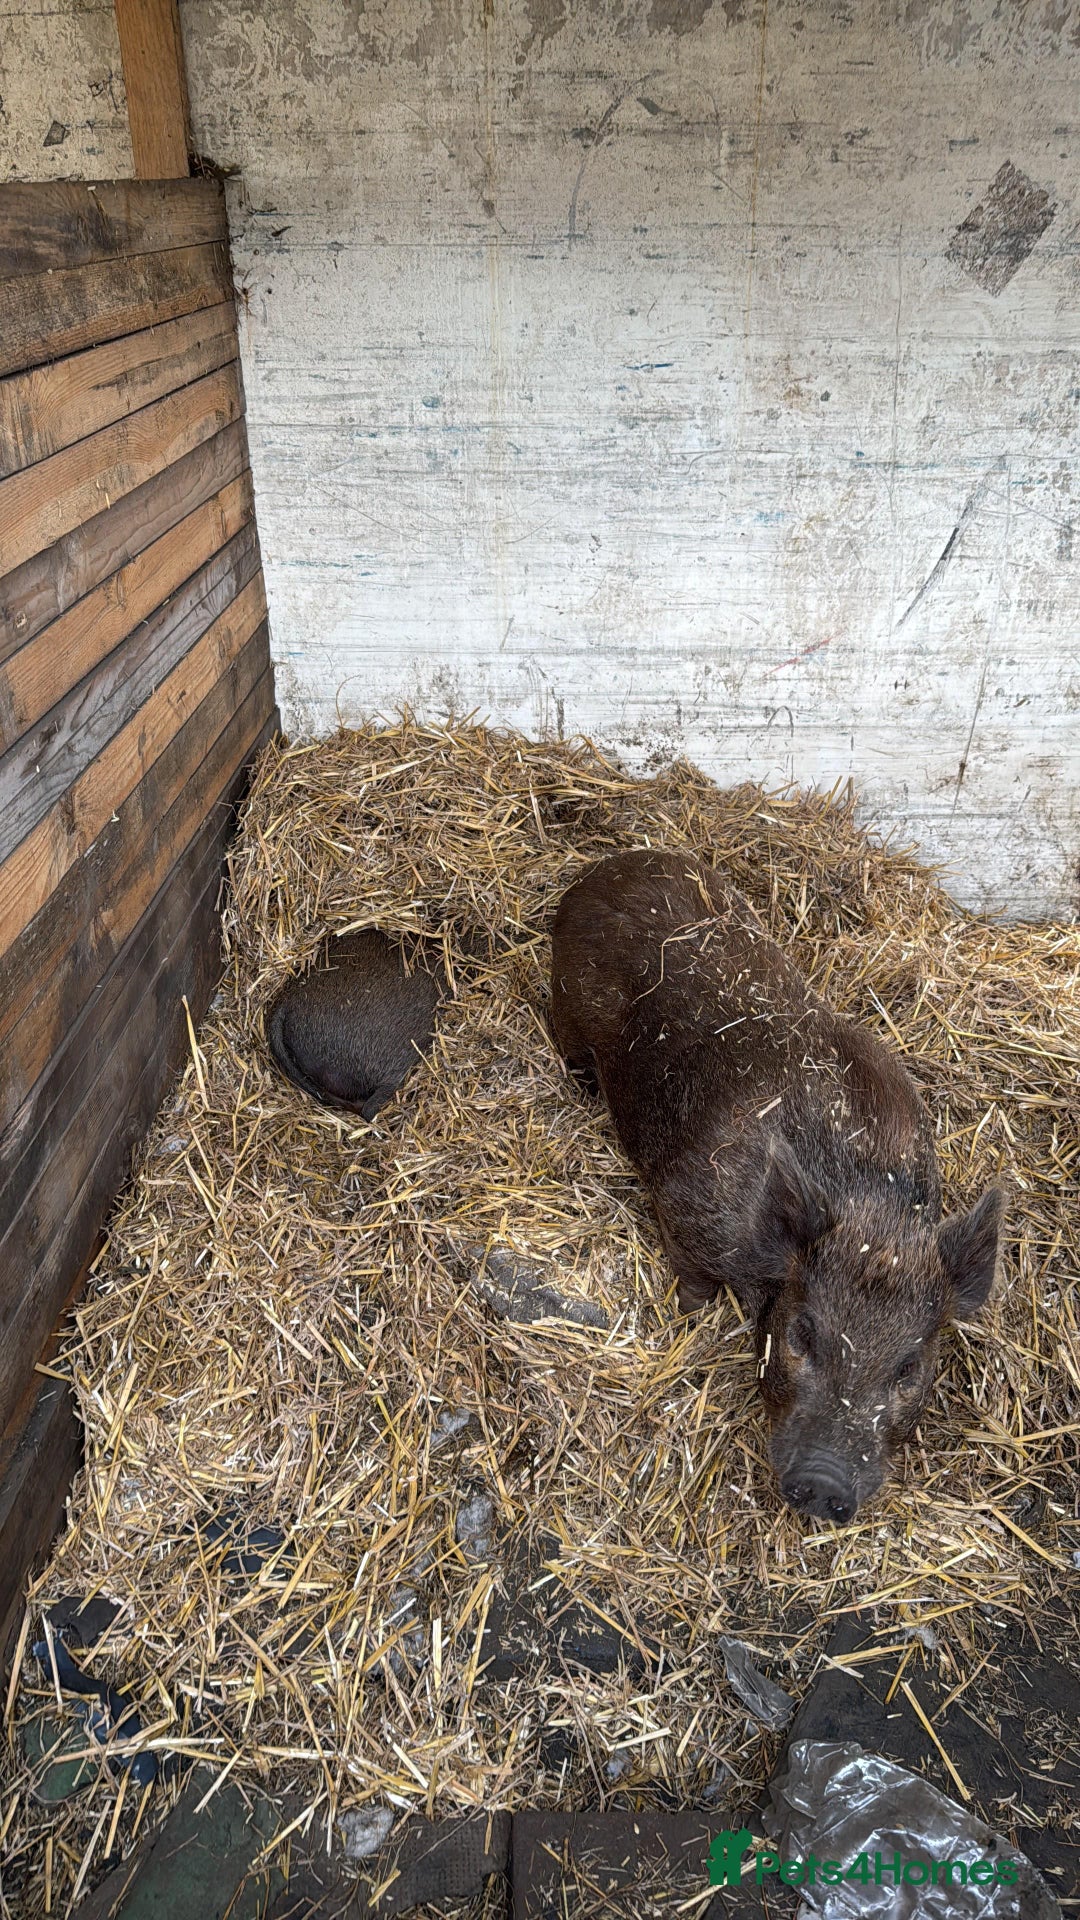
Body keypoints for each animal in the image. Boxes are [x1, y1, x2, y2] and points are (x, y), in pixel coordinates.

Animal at [549, 848, 1004, 1522]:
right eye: (801, 1333)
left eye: (910, 1366)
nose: (824, 1484)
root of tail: (605, 868)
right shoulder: (686, 1208)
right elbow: (694, 1286)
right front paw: (691, 1316)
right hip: (569, 1017)